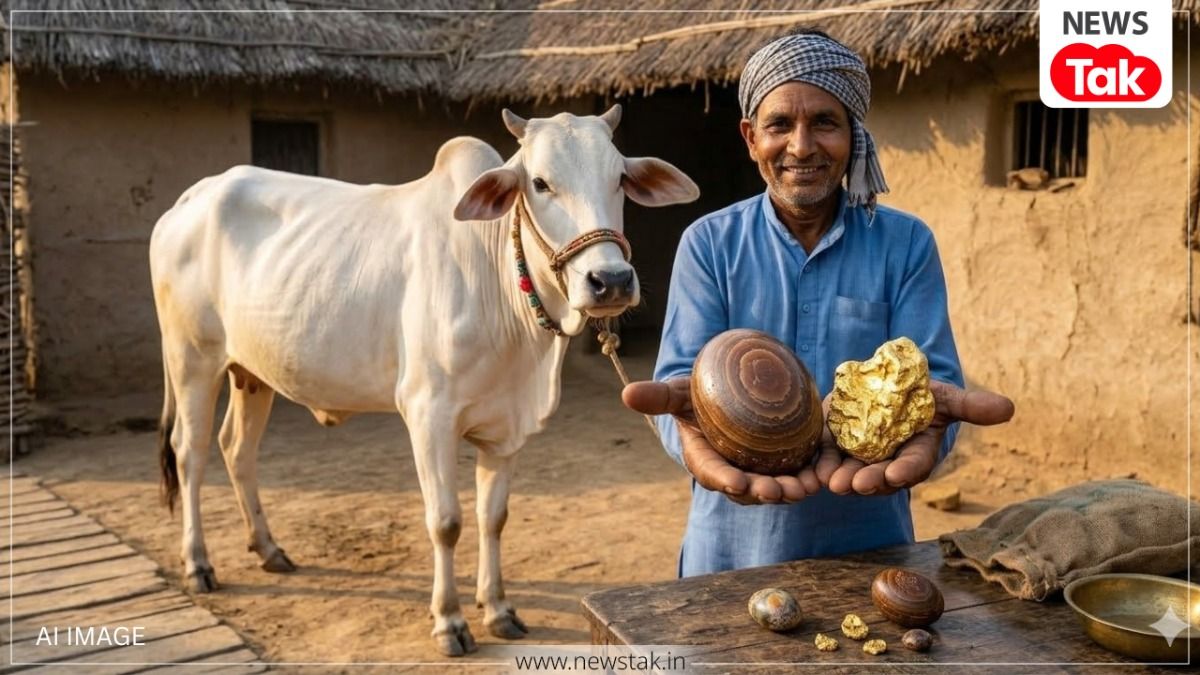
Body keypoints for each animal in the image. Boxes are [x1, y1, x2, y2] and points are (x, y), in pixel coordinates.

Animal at [150, 106, 699, 656]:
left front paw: (498, 609)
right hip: (192, 360)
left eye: (620, 178)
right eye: (541, 183)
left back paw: (268, 549)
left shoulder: (507, 428)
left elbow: (493, 517)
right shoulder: (428, 416)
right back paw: (198, 563)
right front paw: (450, 620)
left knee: (237, 449)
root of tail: (189, 199)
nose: (610, 281)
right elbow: (446, 522)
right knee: (190, 452)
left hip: (252, 372)